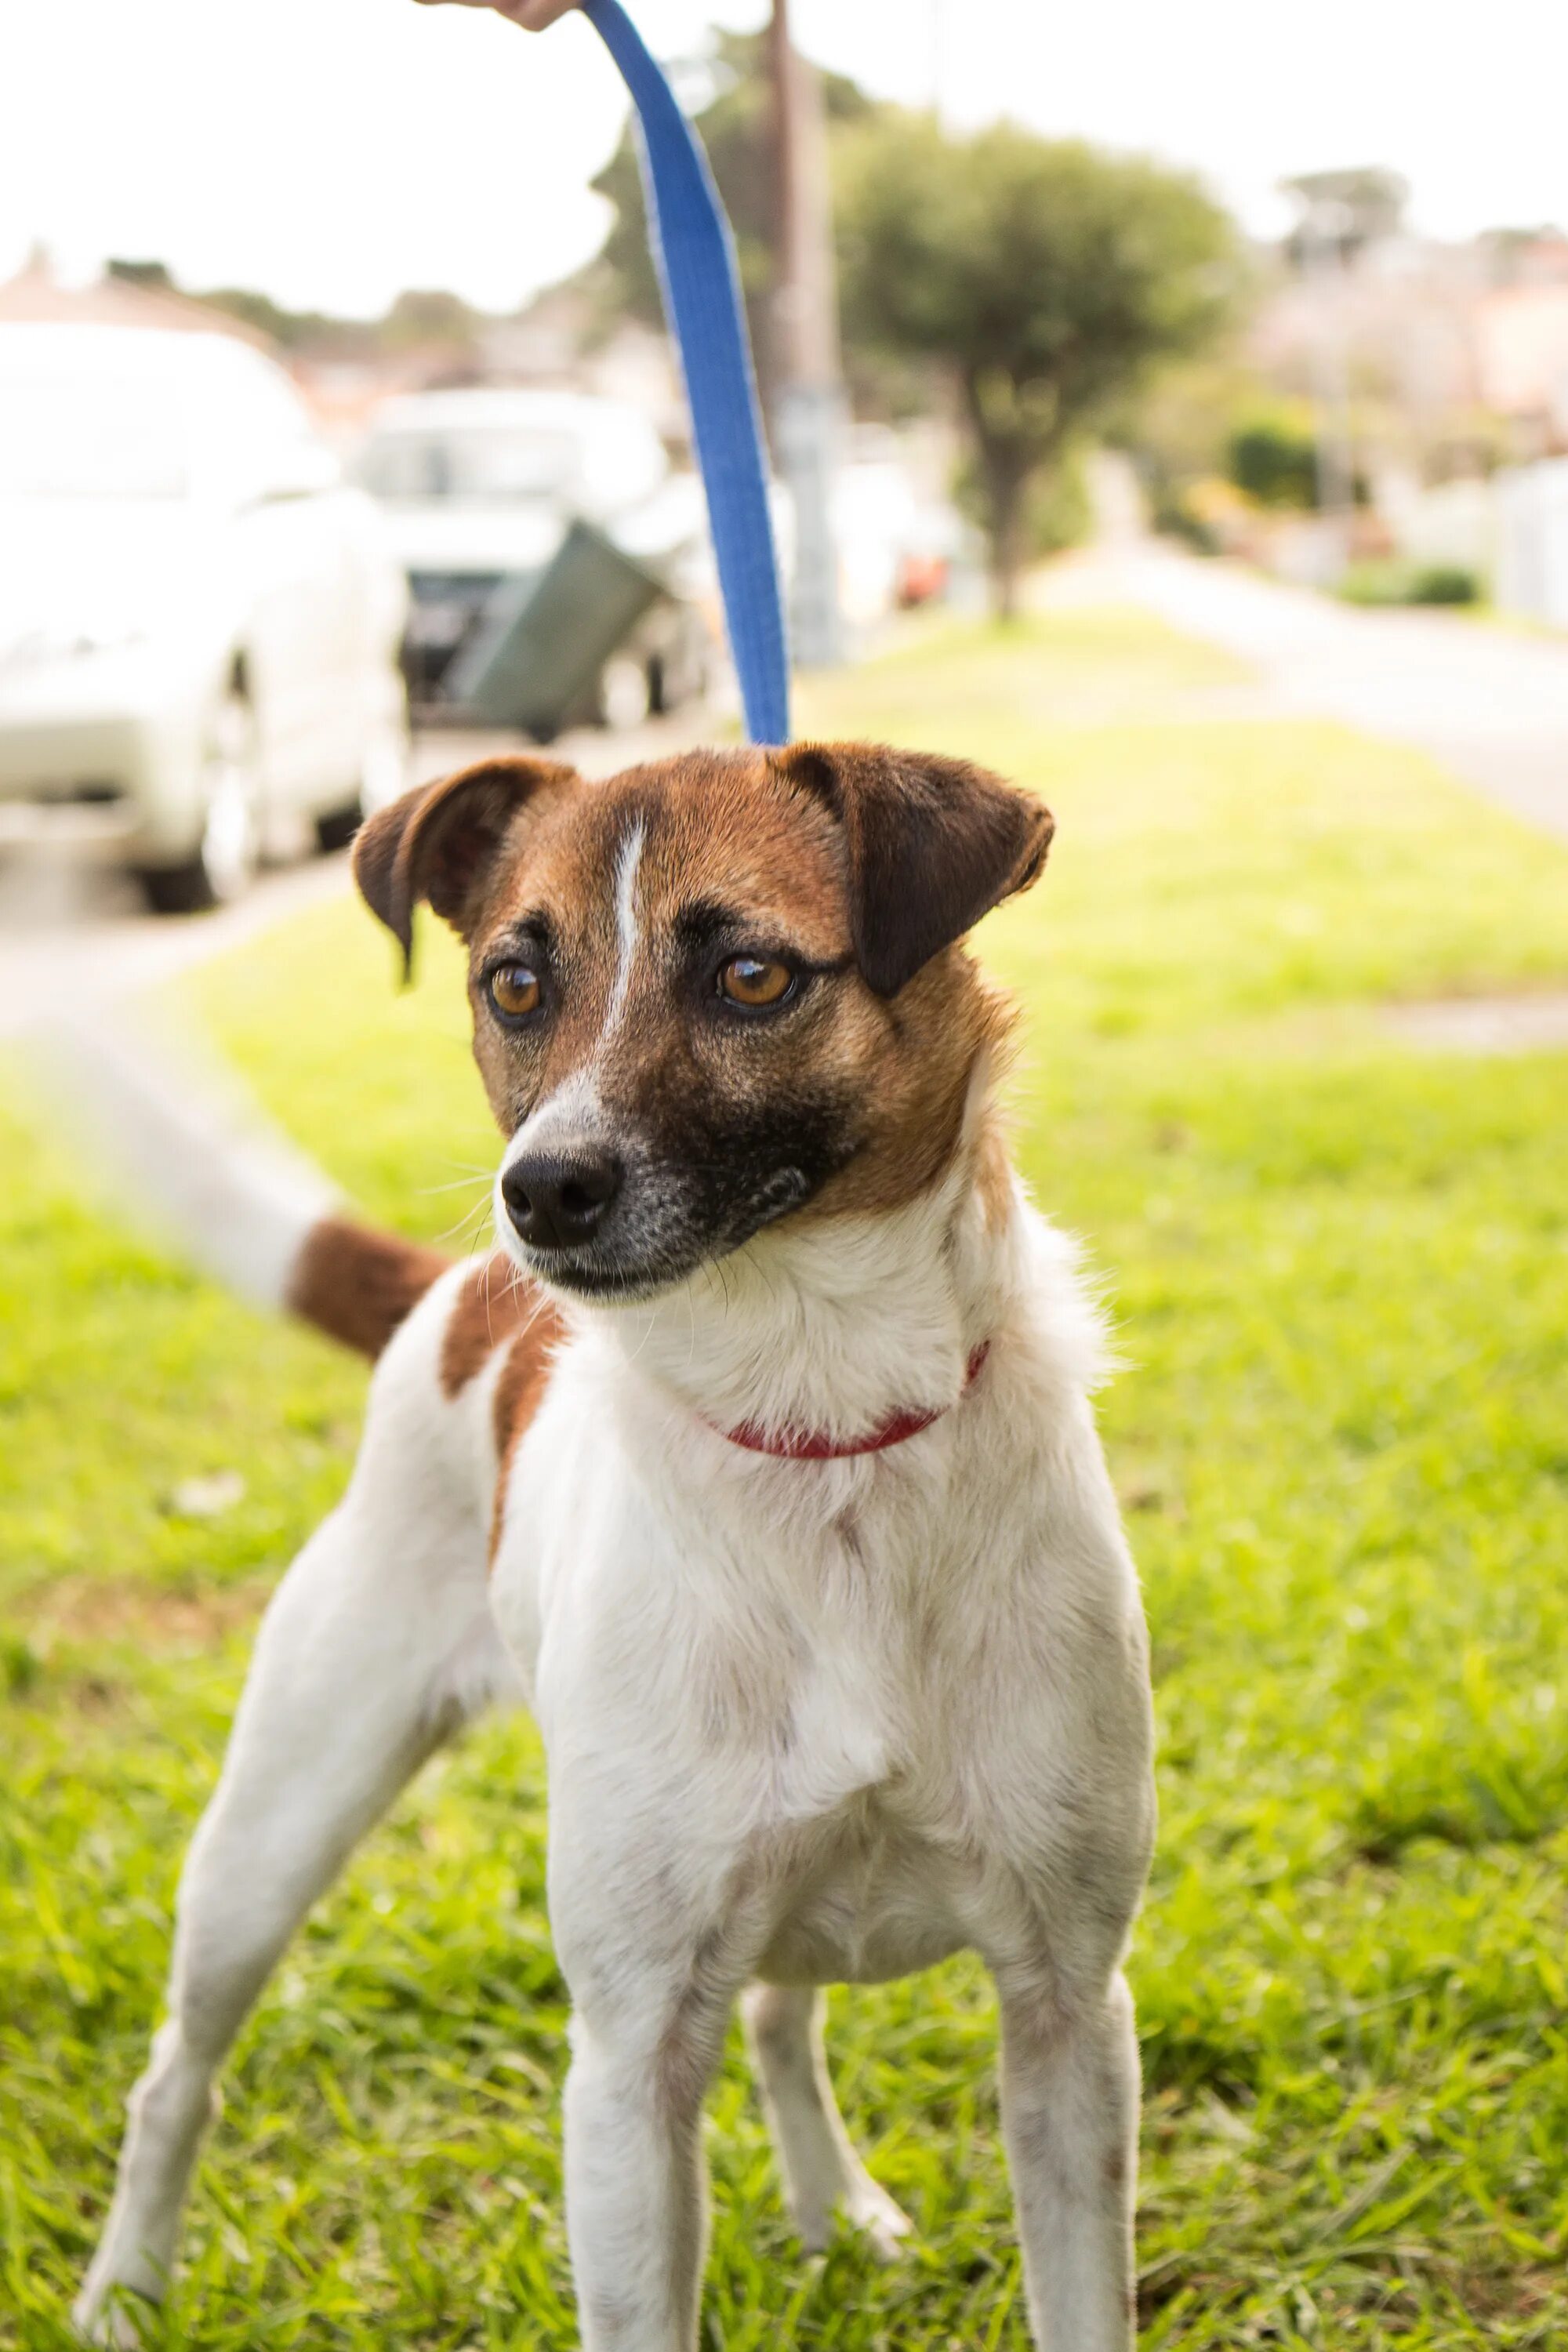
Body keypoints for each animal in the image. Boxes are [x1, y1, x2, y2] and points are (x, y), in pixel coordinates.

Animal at [73, 748, 1152, 2352]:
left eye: (754, 976)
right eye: (516, 985)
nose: (541, 1193)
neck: (821, 1427)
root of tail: (458, 1296)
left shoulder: (1072, 2013)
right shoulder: (628, 2065)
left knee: (776, 2016)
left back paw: (834, 2208)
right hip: (271, 1834)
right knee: (174, 2074)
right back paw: (125, 2289)